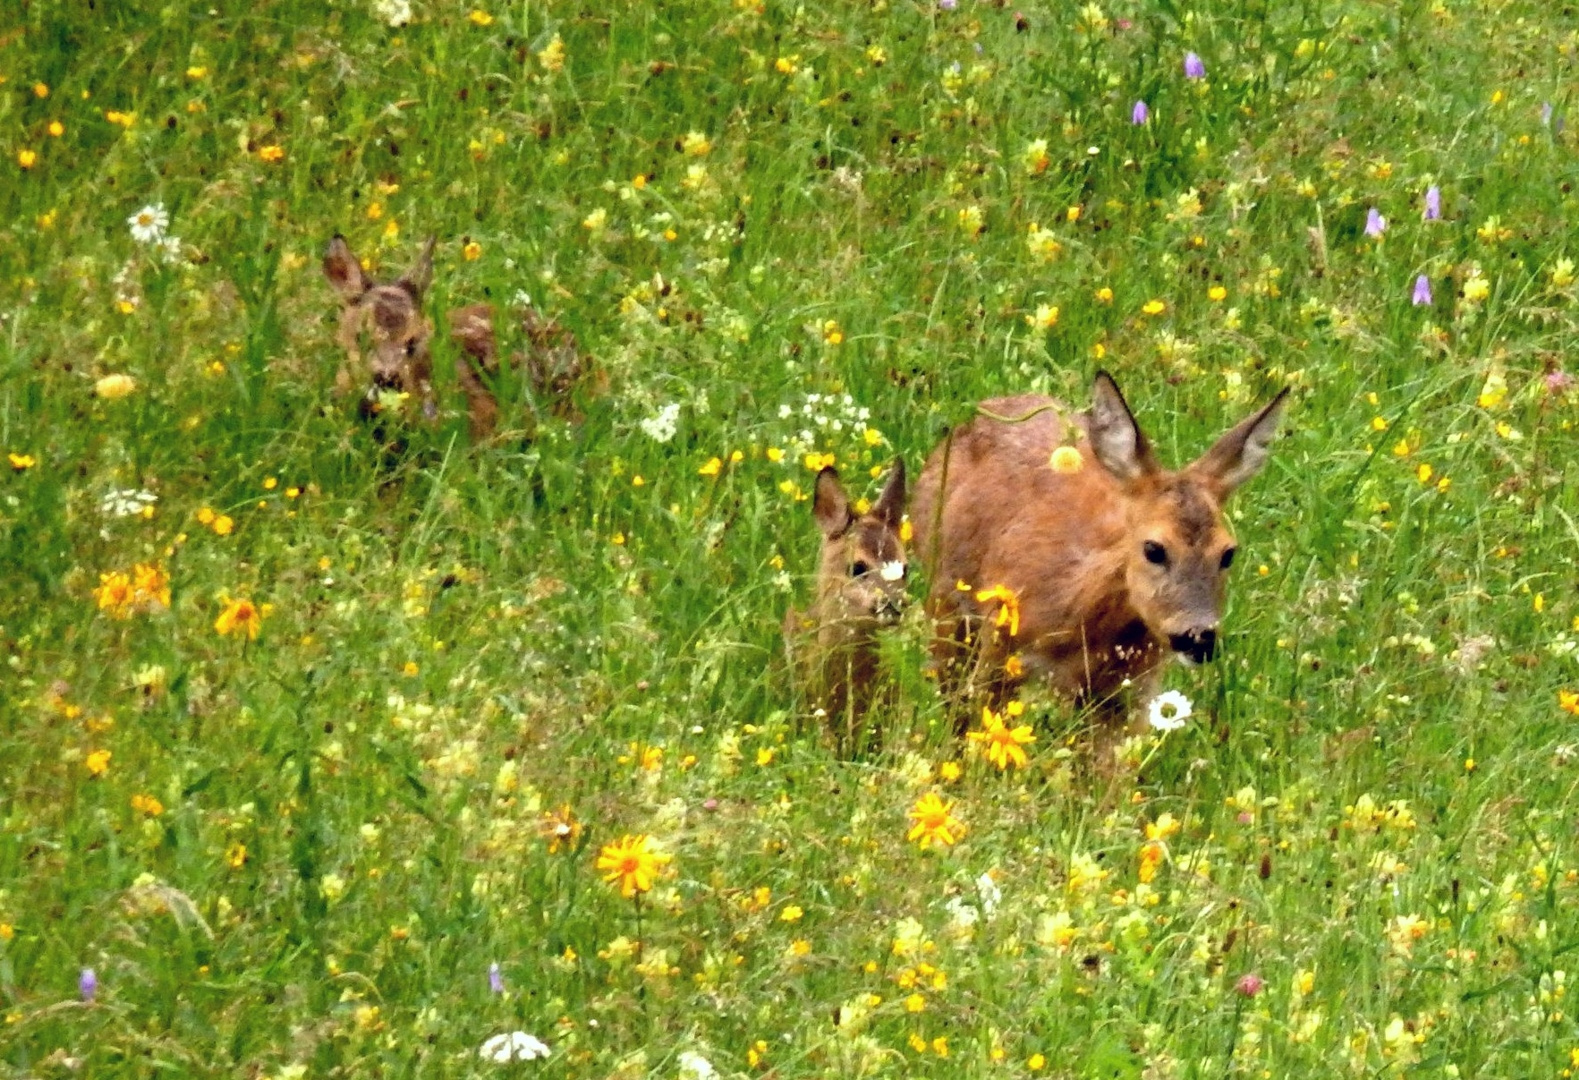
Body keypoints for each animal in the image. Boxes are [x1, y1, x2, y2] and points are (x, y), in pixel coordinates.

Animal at [909, 371, 1288, 716]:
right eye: (1153, 548)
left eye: (1228, 553)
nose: (1199, 637)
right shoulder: (1001, 644)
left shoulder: (1129, 694)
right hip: (945, 599)